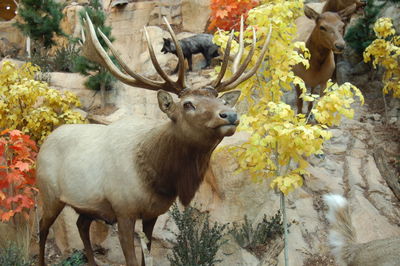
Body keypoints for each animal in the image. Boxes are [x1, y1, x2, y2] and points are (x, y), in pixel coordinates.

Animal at [37, 14, 272, 266]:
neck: (158, 178)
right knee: (42, 229)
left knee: (81, 225)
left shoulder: (152, 214)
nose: (230, 114)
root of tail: (46, 141)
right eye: (188, 104)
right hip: (49, 194)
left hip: (88, 206)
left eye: (223, 101)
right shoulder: (123, 210)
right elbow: (131, 260)